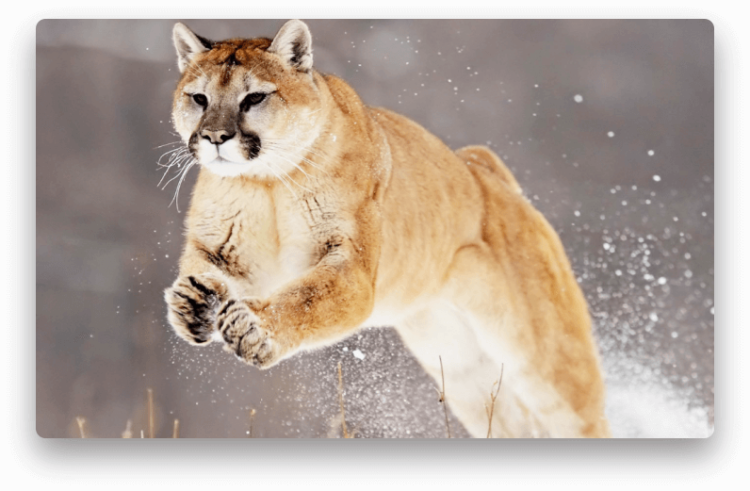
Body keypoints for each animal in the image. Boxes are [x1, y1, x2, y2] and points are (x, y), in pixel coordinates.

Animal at [164, 19, 610, 438]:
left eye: (254, 97)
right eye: (199, 98)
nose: (215, 136)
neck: (265, 182)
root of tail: (484, 169)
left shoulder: (351, 268)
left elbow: (306, 298)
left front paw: (253, 328)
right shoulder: (224, 250)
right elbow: (203, 269)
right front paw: (192, 303)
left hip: (547, 360)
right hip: (464, 370)